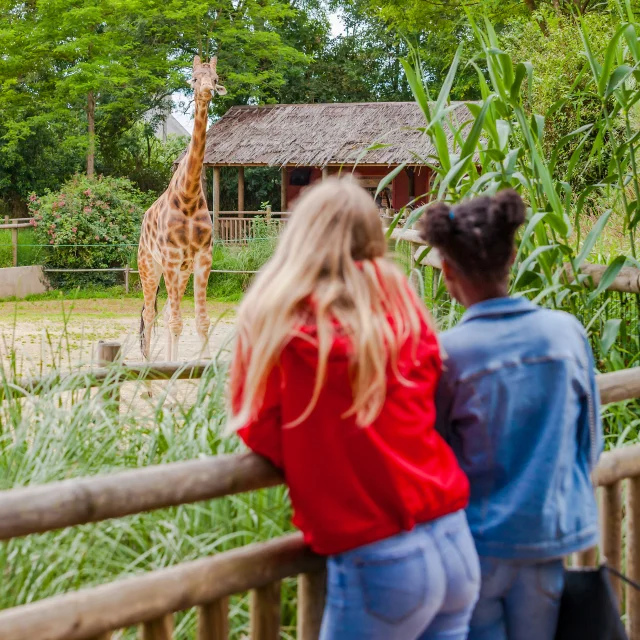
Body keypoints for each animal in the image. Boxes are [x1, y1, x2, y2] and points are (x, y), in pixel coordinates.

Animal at [138, 55, 226, 362]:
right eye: (194, 78)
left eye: (215, 78)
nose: (207, 91)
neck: (187, 197)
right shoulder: (171, 258)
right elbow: (177, 321)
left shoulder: (202, 258)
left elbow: (202, 321)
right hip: (149, 266)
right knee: (150, 313)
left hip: (182, 271)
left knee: (164, 312)